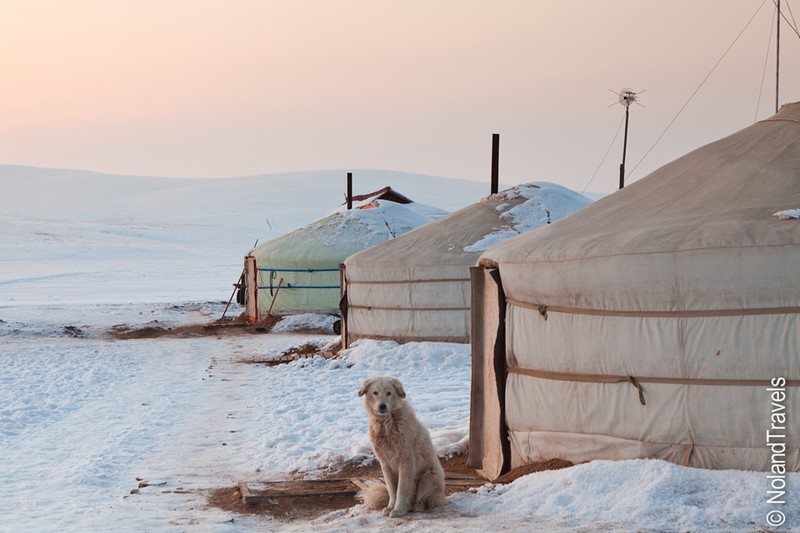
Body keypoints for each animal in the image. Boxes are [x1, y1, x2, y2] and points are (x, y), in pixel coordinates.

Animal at [358, 374, 446, 516]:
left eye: (389, 393)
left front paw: (398, 510)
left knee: (421, 499)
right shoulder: (385, 465)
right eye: (375, 393)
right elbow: (392, 491)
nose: (382, 406)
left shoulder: (406, 462)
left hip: (429, 476)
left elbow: (401, 490)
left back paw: (416, 506)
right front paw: (390, 507)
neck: (386, 425)